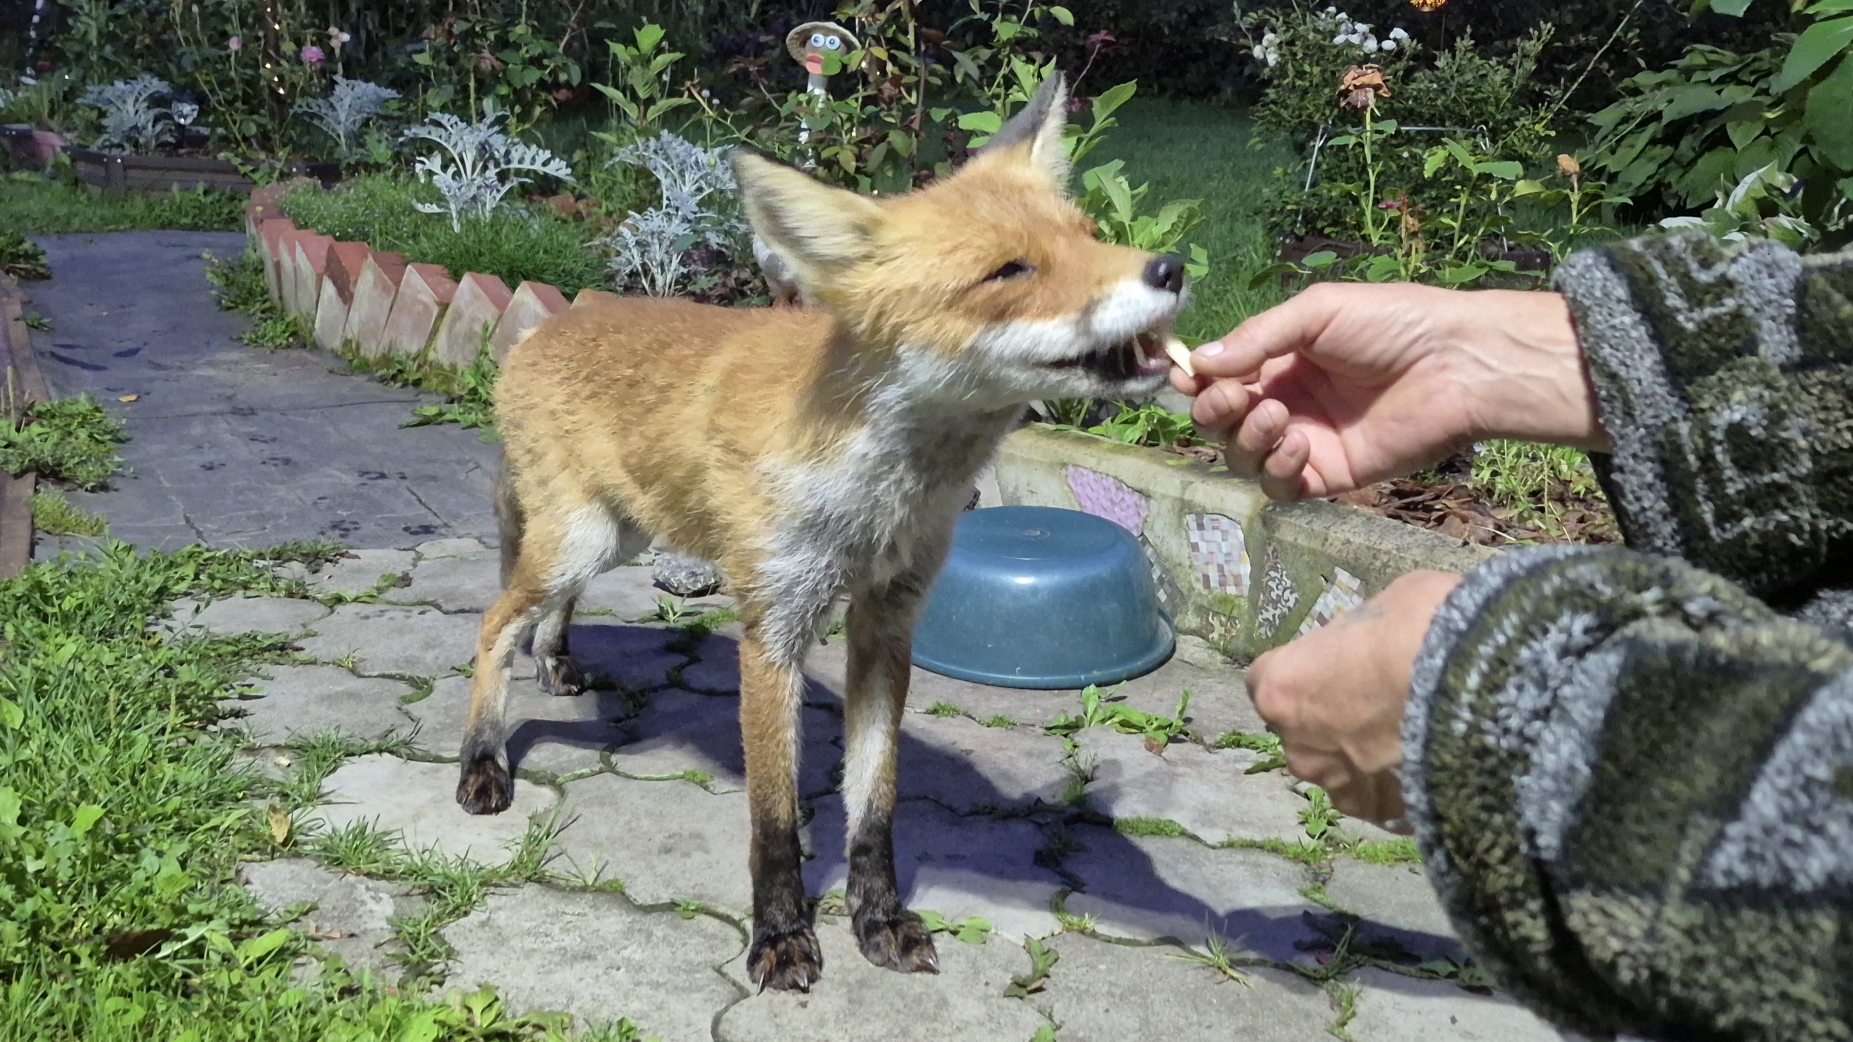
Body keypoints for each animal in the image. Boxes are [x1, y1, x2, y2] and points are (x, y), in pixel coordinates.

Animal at [455, 72, 1188, 993]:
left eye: (1089, 237)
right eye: (1009, 270)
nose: (1171, 267)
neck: (879, 495)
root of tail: (540, 327)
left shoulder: (886, 622)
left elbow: (873, 803)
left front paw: (877, 918)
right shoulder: (773, 627)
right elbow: (771, 818)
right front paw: (779, 935)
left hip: (617, 536)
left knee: (543, 611)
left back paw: (554, 663)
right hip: (580, 540)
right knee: (492, 623)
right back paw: (481, 761)